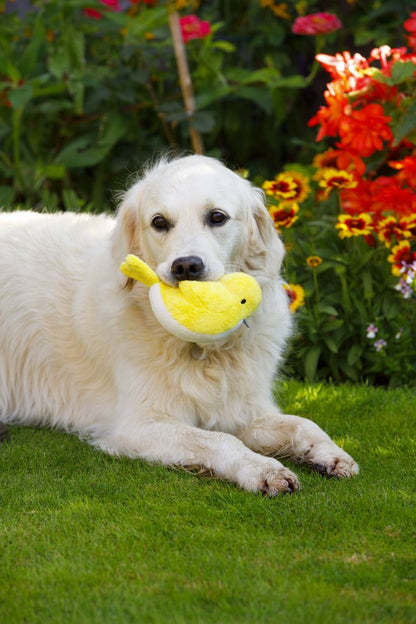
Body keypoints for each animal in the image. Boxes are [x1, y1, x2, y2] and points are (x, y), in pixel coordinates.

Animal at [0, 155, 358, 492]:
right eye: (159, 222)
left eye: (217, 217)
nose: (186, 266)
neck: (203, 351)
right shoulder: (139, 426)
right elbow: (221, 441)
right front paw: (262, 470)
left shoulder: (242, 410)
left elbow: (302, 423)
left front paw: (331, 454)